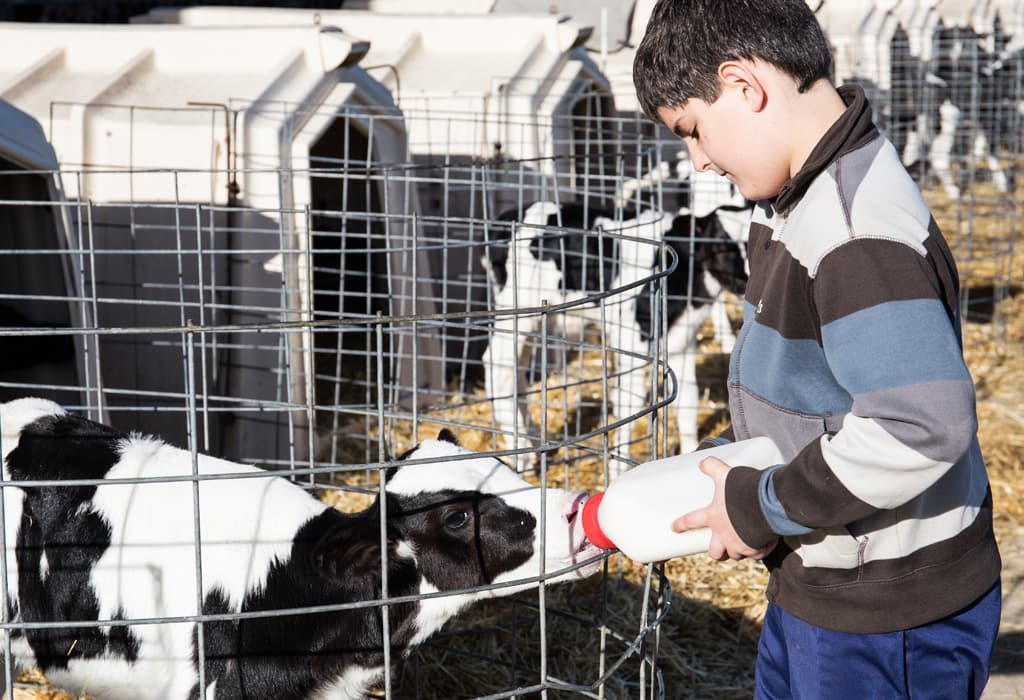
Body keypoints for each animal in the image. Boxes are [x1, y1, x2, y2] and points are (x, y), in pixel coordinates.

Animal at [483, 196, 749, 472]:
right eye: (721, 245)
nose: (746, 281)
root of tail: (506, 217)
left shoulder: (682, 340)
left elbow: (688, 400)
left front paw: (689, 455)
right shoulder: (633, 339)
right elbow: (629, 404)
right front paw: (618, 467)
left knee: (517, 370)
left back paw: (532, 439)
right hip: (517, 309)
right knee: (498, 367)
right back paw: (520, 454)